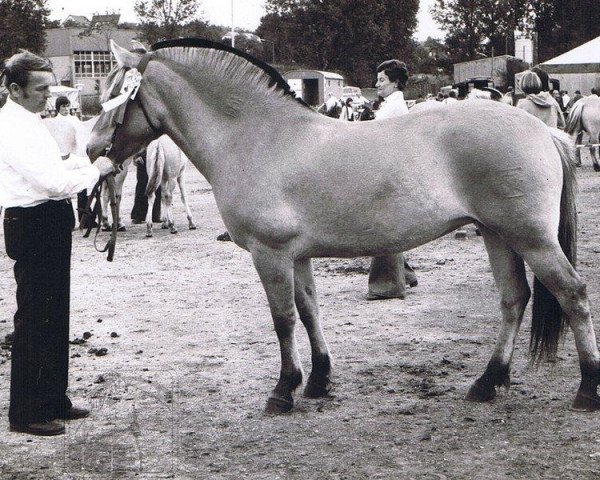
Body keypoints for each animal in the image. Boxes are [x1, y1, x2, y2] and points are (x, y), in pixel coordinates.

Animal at [85, 40, 600, 416]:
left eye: (115, 95)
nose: (91, 149)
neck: (257, 138)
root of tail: (544, 131)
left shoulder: (270, 254)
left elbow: (283, 319)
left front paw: (283, 390)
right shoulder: (298, 256)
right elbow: (310, 311)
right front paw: (318, 379)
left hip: (531, 238)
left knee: (572, 294)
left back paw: (587, 390)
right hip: (498, 235)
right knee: (514, 299)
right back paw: (487, 382)